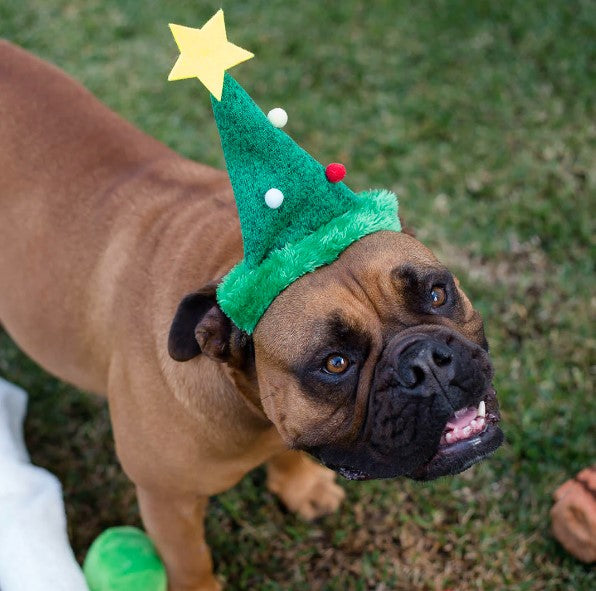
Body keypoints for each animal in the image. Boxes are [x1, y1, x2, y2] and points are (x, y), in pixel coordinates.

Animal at [0, 42, 502, 591]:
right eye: (335, 363)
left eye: (436, 294)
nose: (427, 362)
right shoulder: (167, 501)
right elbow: (190, 559)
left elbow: (289, 452)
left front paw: (300, 487)